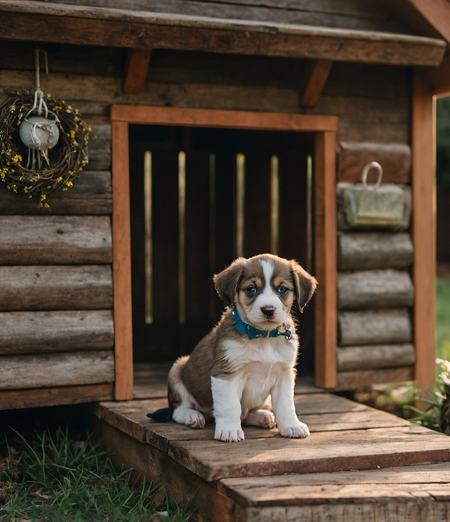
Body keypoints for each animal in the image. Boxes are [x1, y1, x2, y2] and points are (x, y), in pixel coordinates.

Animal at [148, 254, 316, 440]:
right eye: (251, 289)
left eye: (282, 289)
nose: (268, 310)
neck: (262, 337)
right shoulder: (226, 373)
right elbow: (231, 406)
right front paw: (229, 430)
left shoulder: (284, 374)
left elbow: (286, 405)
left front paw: (292, 426)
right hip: (177, 369)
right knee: (179, 409)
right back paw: (192, 416)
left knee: (247, 414)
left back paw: (262, 416)